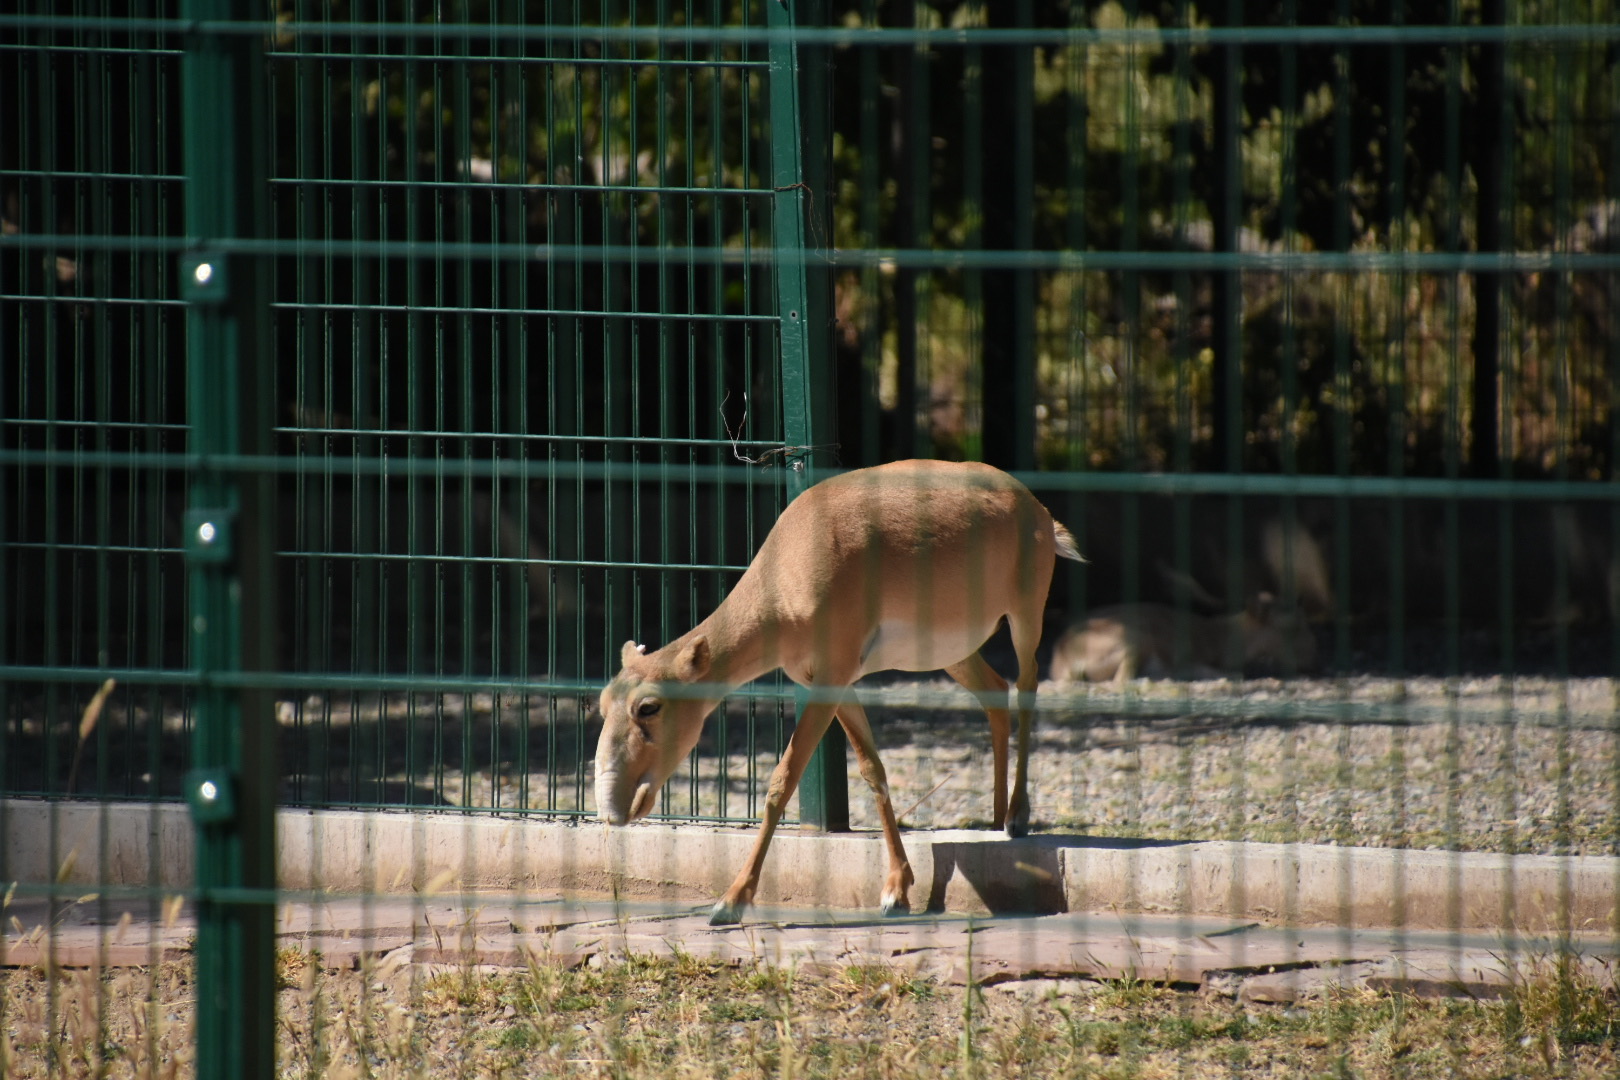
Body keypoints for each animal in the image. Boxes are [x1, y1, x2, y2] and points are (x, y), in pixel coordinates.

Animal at [594, 459, 1084, 925]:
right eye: (602, 704)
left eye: (648, 706)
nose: (614, 811)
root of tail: (1040, 512)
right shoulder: (836, 681)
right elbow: (872, 769)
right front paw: (895, 890)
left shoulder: (831, 677)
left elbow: (782, 780)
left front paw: (729, 902)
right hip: (953, 653)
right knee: (996, 693)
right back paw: (995, 816)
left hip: (1025, 615)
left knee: (1027, 684)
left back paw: (1018, 816)